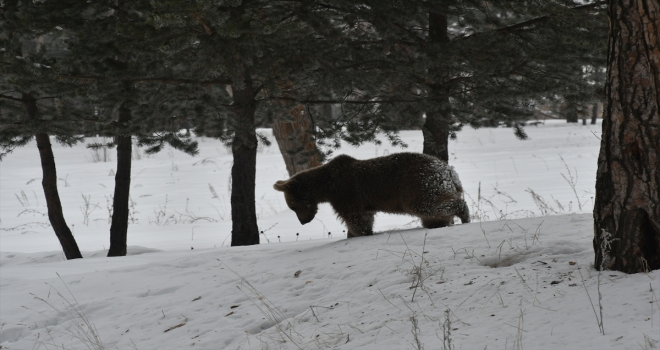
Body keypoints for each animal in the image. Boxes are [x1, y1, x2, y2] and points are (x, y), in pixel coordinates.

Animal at [274, 153, 470, 238]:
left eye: (293, 207)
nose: (303, 221)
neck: (326, 187)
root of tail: (449, 171)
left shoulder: (346, 193)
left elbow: (354, 217)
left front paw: (356, 233)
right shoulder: (362, 202)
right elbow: (365, 217)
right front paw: (356, 233)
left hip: (417, 185)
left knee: (428, 206)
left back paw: (464, 214)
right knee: (432, 215)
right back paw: (440, 223)